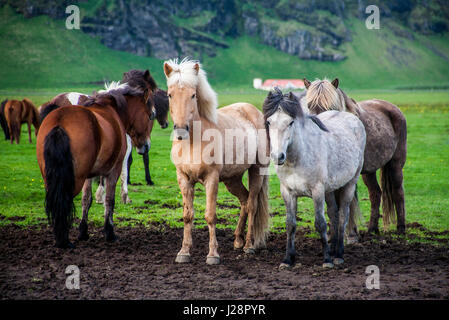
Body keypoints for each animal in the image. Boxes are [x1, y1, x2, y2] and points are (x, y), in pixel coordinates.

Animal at [35, 81, 154, 249]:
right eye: (150, 116)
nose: (146, 146)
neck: (111, 110)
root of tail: (60, 121)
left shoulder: (88, 175)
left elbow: (87, 199)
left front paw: (83, 232)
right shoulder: (113, 170)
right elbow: (109, 200)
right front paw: (109, 232)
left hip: (51, 177)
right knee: (63, 200)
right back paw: (63, 240)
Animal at [164, 58, 270, 264]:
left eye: (193, 95)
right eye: (170, 95)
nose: (181, 130)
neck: (194, 142)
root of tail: (253, 111)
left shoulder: (211, 179)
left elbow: (210, 215)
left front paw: (213, 255)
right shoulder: (184, 179)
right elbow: (187, 215)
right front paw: (184, 252)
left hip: (256, 171)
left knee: (252, 205)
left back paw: (248, 246)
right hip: (232, 179)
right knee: (244, 200)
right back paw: (237, 240)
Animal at [262, 88, 364, 268]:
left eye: (290, 122)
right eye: (269, 122)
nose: (278, 156)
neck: (297, 158)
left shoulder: (317, 191)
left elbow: (320, 224)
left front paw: (327, 260)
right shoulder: (287, 192)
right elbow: (290, 224)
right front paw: (288, 259)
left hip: (349, 184)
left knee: (343, 216)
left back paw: (338, 254)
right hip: (330, 190)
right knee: (334, 214)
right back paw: (333, 249)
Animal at [300, 78, 406, 235]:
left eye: (331, 107)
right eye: (309, 105)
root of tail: (393, 108)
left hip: (395, 165)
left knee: (398, 192)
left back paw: (401, 228)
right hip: (369, 171)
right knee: (375, 194)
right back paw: (372, 229)